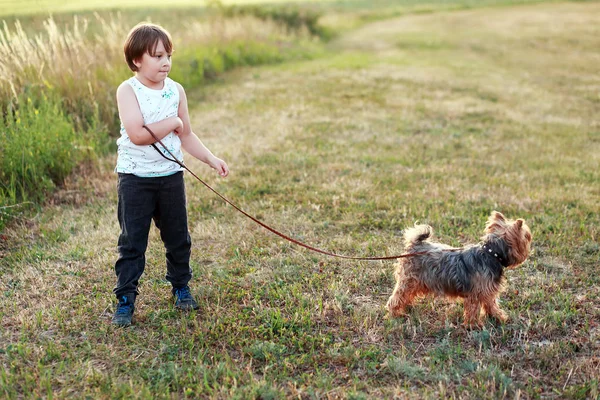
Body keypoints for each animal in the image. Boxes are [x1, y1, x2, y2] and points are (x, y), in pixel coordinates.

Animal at [386, 211, 532, 326]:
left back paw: (407, 307)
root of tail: (415, 244)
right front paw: (473, 325)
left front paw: (498, 317)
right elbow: (473, 309)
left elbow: (492, 305)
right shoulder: (476, 293)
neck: (492, 253)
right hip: (409, 280)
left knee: (407, 295)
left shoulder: (488, 291)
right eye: (527, 237)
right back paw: (395, 314)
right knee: (398, 297)